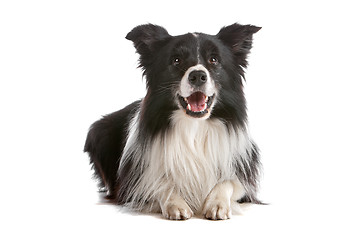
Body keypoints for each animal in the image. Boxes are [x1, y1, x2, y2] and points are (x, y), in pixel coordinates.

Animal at [86, 23, 262, 220]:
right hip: (98, 132)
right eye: (176, 60)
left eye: (214, 59)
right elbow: (159, 184)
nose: (197, 75)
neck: (194, 128)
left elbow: (229, 182)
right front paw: (175, 203)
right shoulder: (132, 183)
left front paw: (218, 203)